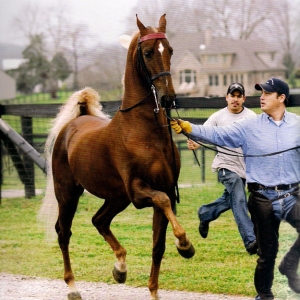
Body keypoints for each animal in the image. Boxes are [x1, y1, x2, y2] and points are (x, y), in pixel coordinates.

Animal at [39, 14, 195, 300]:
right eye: (147, 53)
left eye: (170, 50)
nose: (168, 98)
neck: (144, 131)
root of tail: (73, 124)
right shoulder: (140, 193)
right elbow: (163, 202)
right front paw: (185, 244)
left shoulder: (161, 188)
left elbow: (158, 245)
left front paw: (154, 289)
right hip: (68, 194)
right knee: (63, 232)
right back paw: (73, 286)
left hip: (116, 198)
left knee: (99, 220)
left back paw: (120, 267)